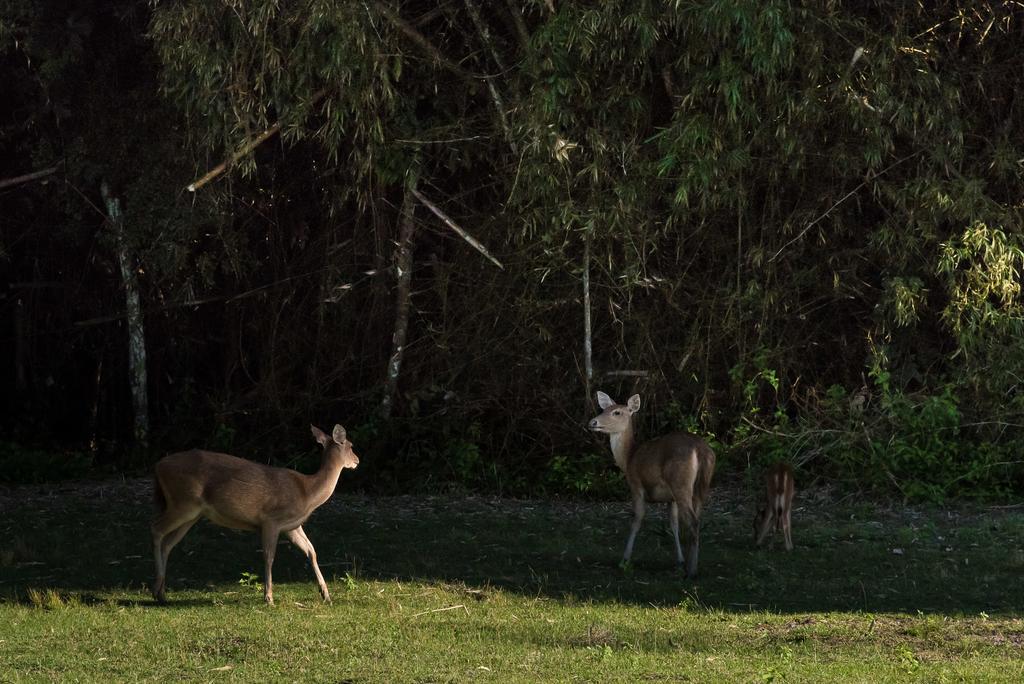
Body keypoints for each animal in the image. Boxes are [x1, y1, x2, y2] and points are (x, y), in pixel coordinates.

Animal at [149, 421, 358, 602]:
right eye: (350, 445)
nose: (357, 460)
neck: (307, 492)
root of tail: (157, 466)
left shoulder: (292, 526)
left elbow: (311, 550)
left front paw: (326, 594)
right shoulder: (271, 520)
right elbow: (269, 556)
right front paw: (269, 597)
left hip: (191, 513)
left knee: (168, 543)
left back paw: (162, 593)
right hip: (183, 503)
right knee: (156, 529)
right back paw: (156, 588)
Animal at [589, 389, 716, 577]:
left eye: (617, 412)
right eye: (604, 409)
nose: (593, 422)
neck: (628, 458)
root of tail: (700, 450)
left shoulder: (635, 484)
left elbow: (637, 520)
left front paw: (625, 559)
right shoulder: (670, 498)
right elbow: (673, 524)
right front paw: (679, 560)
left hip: (680, 482)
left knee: (693, 521)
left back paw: (691, 572)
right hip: (702, 485)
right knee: (697, 519)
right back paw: (691, 564)